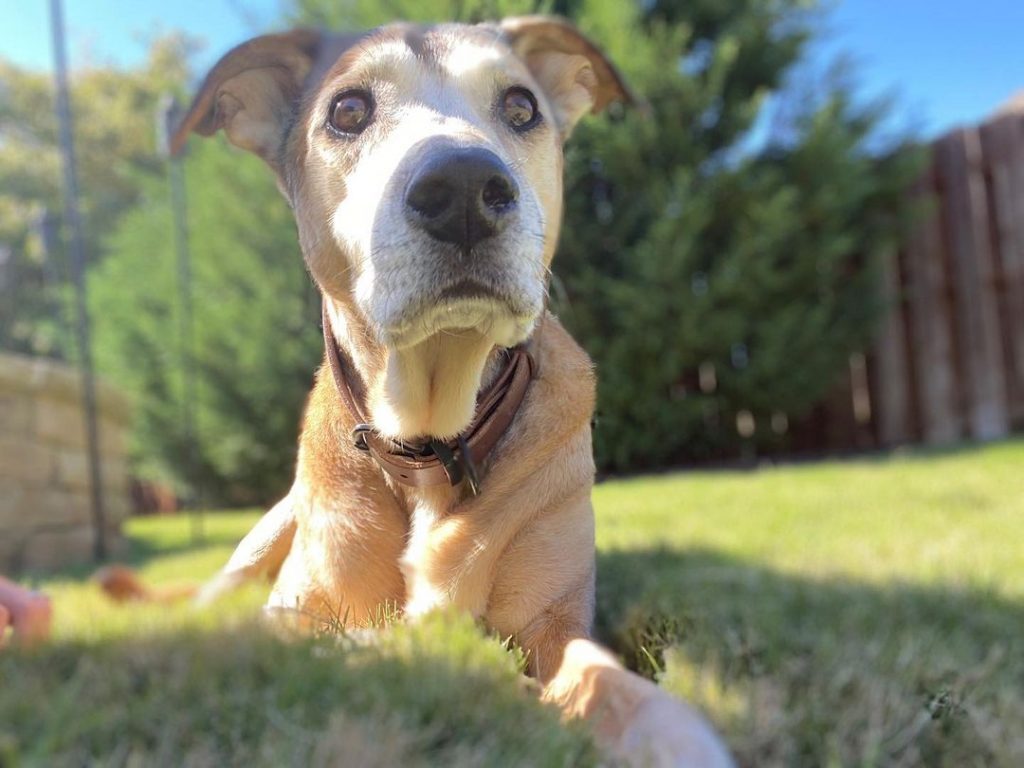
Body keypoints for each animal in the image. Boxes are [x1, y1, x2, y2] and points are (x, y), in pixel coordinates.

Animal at [172, 18, 733, 768]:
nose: (465, 186)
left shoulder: (555, 621)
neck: (428, 445)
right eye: (348, 109)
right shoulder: (297, 611)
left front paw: (670, 731)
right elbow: (317, 639)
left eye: (521, 106)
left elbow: (606, 681)